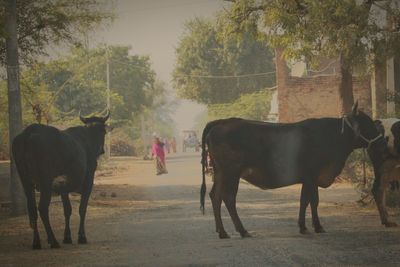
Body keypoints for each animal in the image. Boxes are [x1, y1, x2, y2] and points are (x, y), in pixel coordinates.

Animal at [12, 110, 110, 250]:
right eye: (103, 132)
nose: (102, 150)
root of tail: (28, 133)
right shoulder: (88, 182)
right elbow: (82, 209)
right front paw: (81, 237)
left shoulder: (64, 188)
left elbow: (67, 210)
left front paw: (67, 237)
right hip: (45, 183)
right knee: (42, 209)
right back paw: (53, 241)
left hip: (26, 181)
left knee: (32, 209)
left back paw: (36, 242)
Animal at [200, 103, 384, 240]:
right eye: (367, 122)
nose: (381, 139)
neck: (332, 136)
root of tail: (222, 122)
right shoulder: (311, 175)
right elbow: (313, 201)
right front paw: (317, 226)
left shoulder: (308, 178)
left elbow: (305, 201)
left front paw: (303, 227)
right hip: (232, 173)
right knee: (228, 198)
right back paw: (242, 230)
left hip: (220, 173)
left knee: (215, 196)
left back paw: (222, 231)